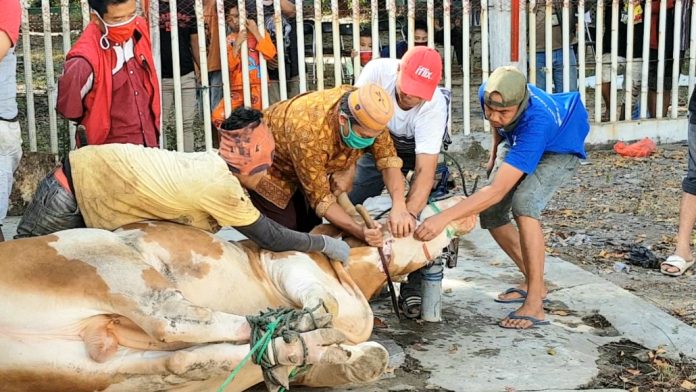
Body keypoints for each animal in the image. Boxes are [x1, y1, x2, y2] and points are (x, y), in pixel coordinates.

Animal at [0, 196, 476, 392]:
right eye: (413, 213)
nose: (465, 215)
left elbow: (360, 346)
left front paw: (337, 356)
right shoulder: (284, 262)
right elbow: (337, 308)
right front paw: (312, 322)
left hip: (82, 369)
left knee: (173, 361)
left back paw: (278, 348)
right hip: (108, 260)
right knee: (173, 320)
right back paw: (285, 329)